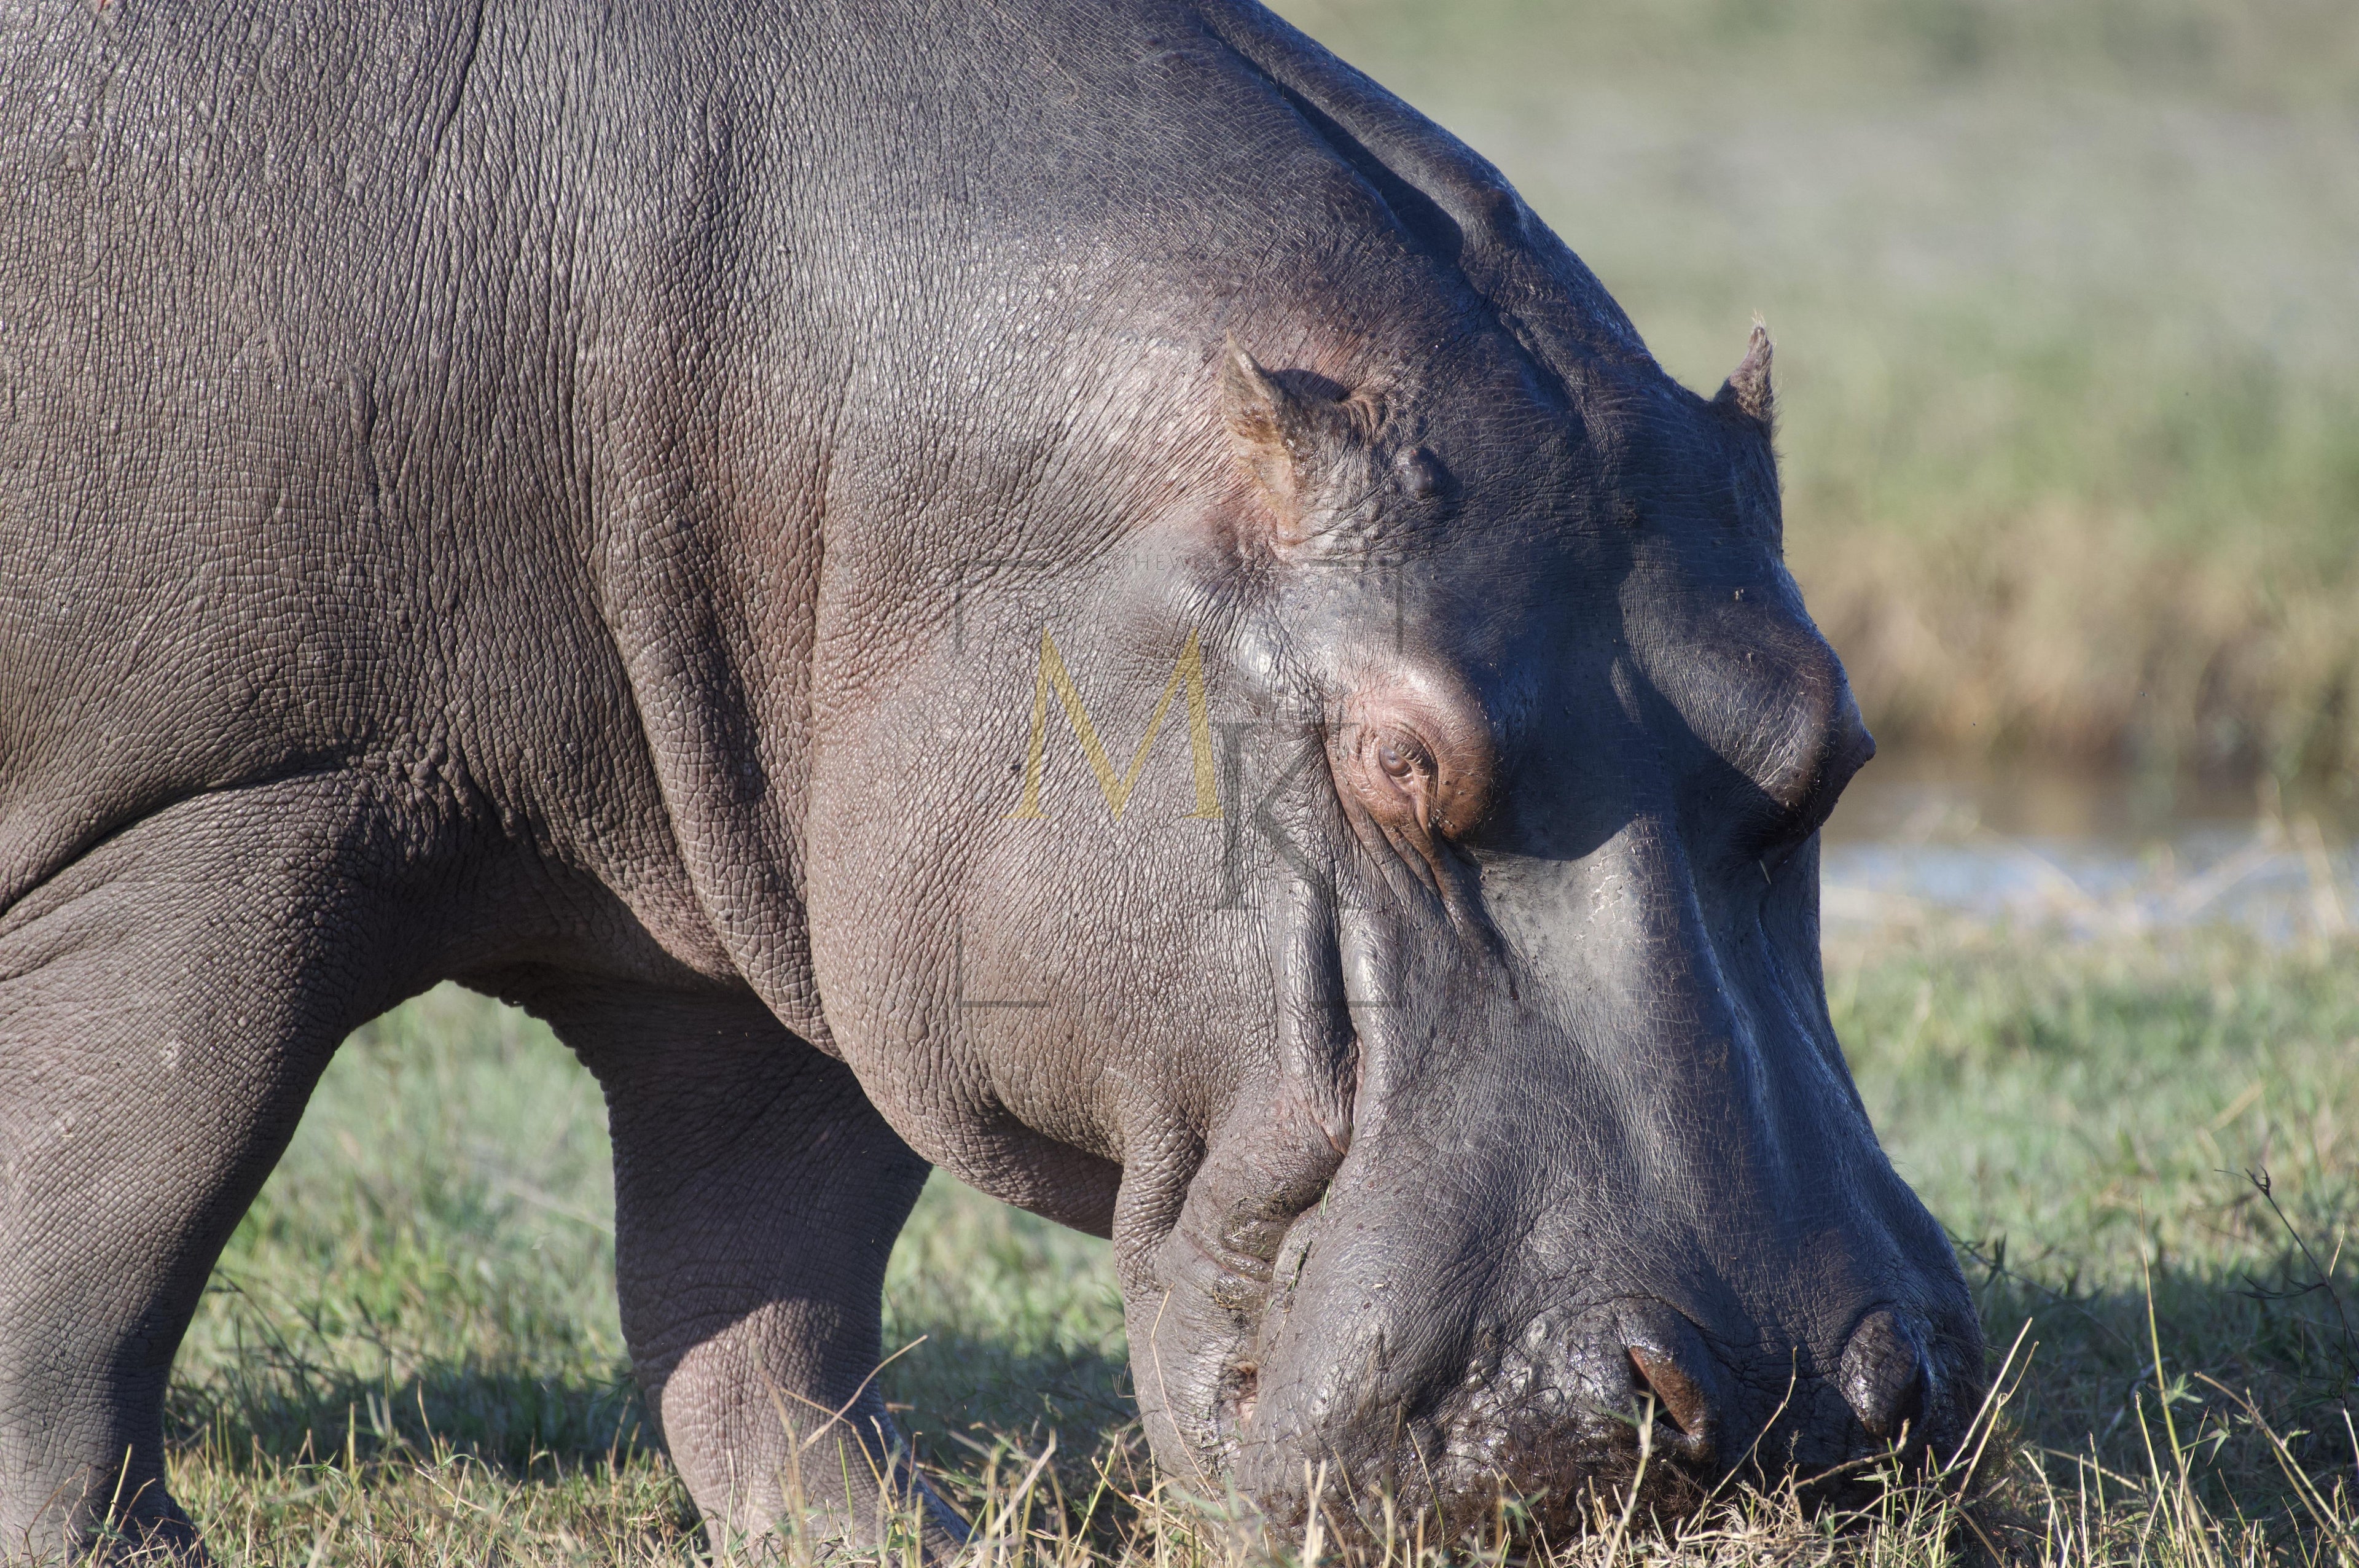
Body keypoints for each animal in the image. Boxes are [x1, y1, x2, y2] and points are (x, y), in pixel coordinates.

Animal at [0, 0, 1985, 1556]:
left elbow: (767, 1273)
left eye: (1832, 740)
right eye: (1397, 756)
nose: (1786, 1398)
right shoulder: (234, 803)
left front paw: (895, 1536)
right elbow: (120, 1205)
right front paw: (124, 1549)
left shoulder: (818, 910)